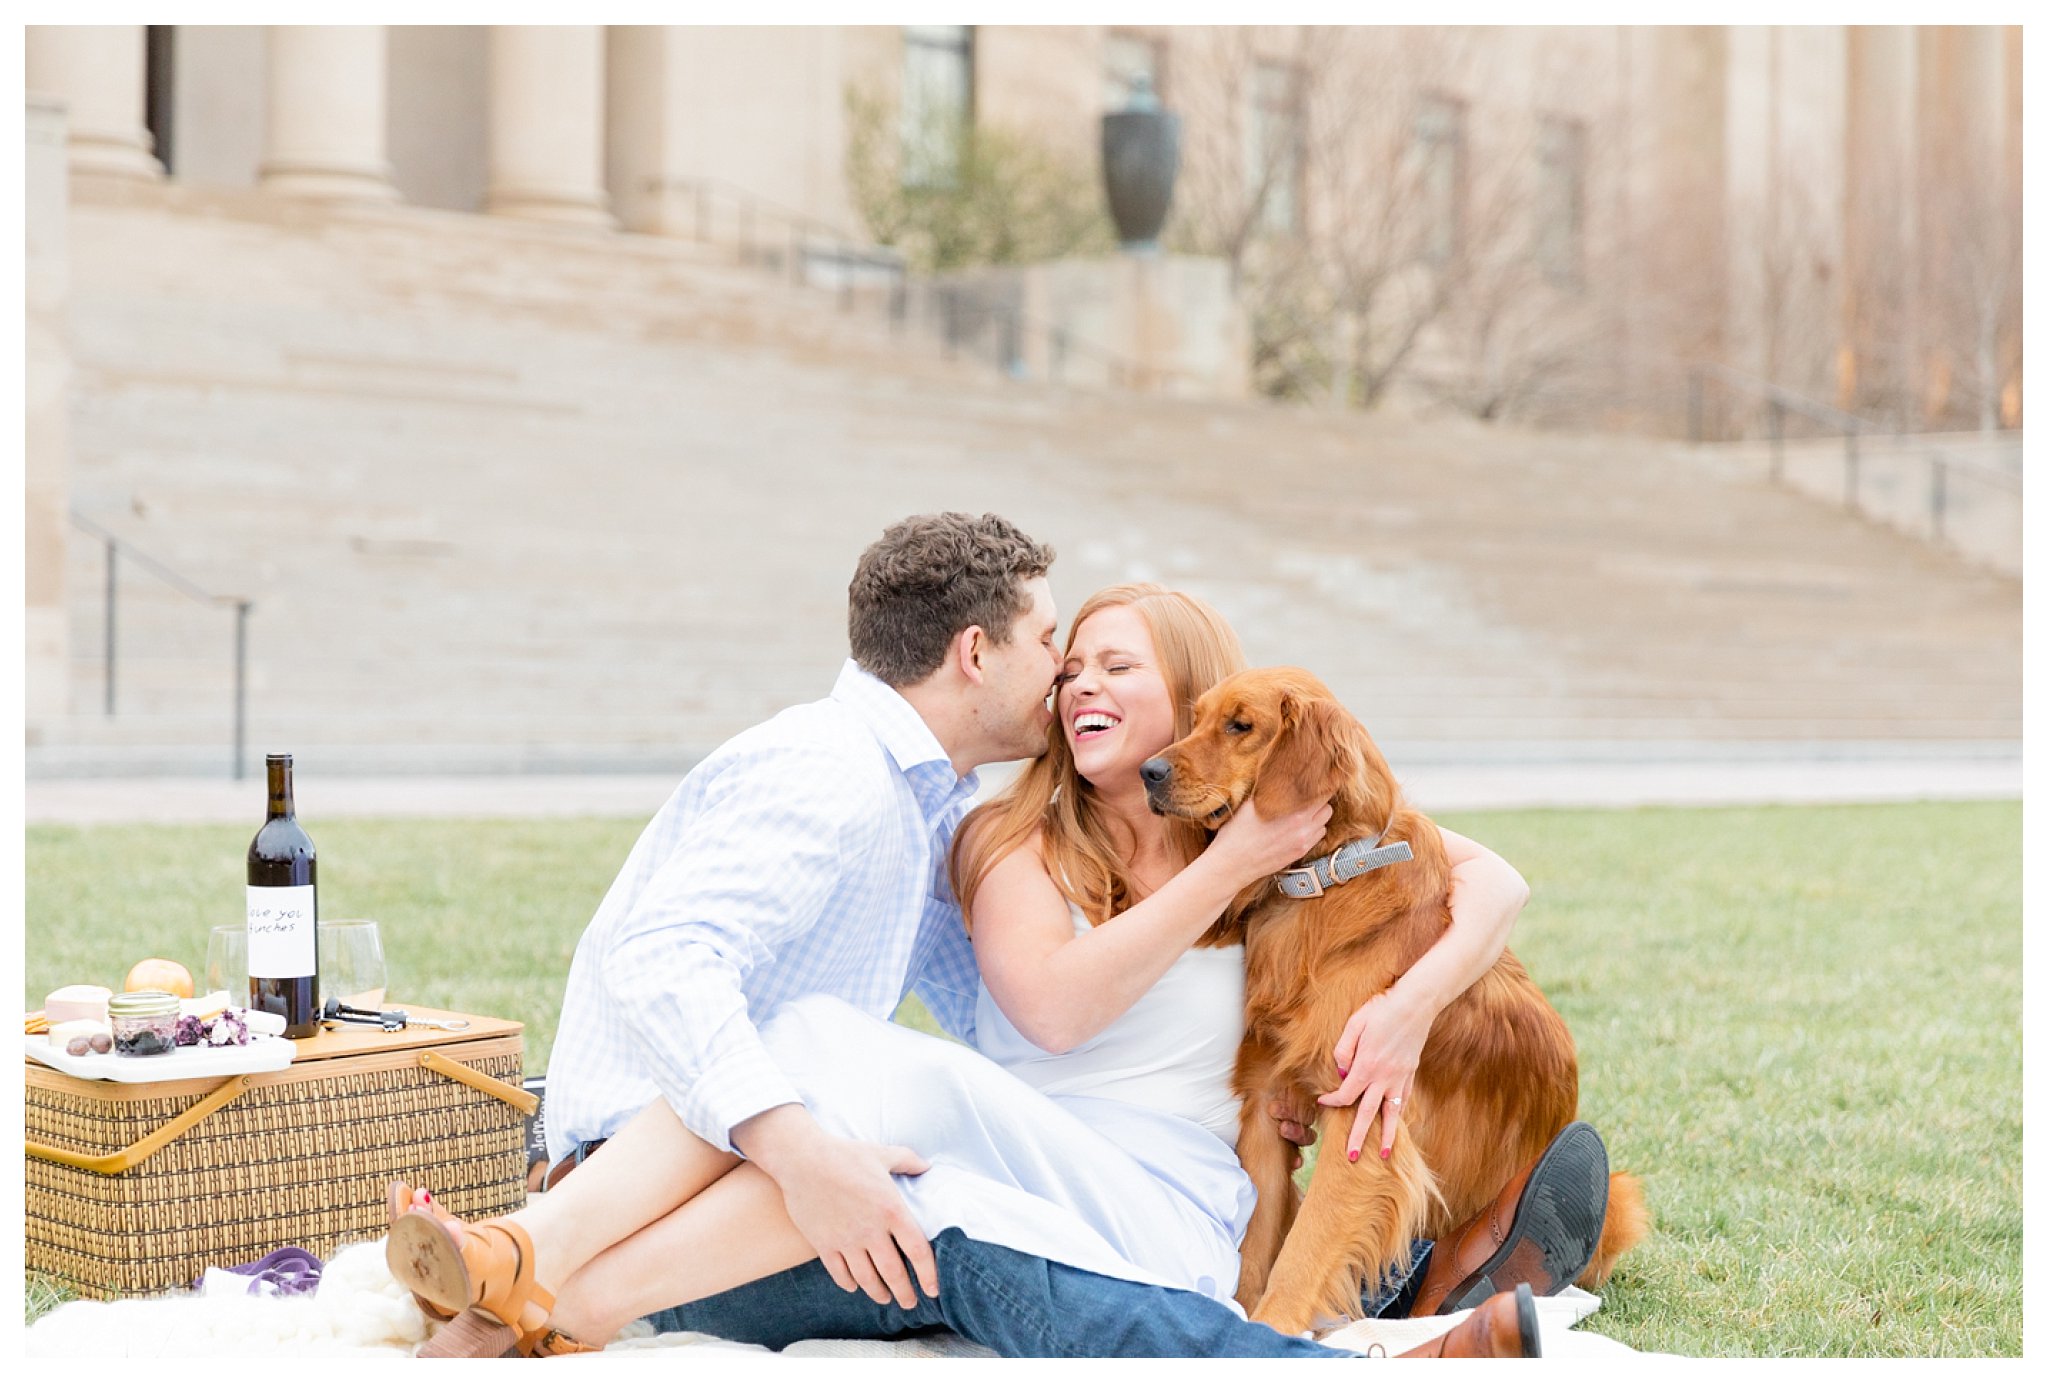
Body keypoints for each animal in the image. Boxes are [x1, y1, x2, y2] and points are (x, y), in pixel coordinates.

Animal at [1146, 663, 1654, 1335]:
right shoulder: (1267, 1102)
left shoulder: (1362, 1119)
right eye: (1197, 718)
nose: (1147, 771)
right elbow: (1256, 1246)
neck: (1328, 877)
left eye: (1240, 726)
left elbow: (1303, 1251)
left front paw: (1272, 1329)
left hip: (1618, 1194)